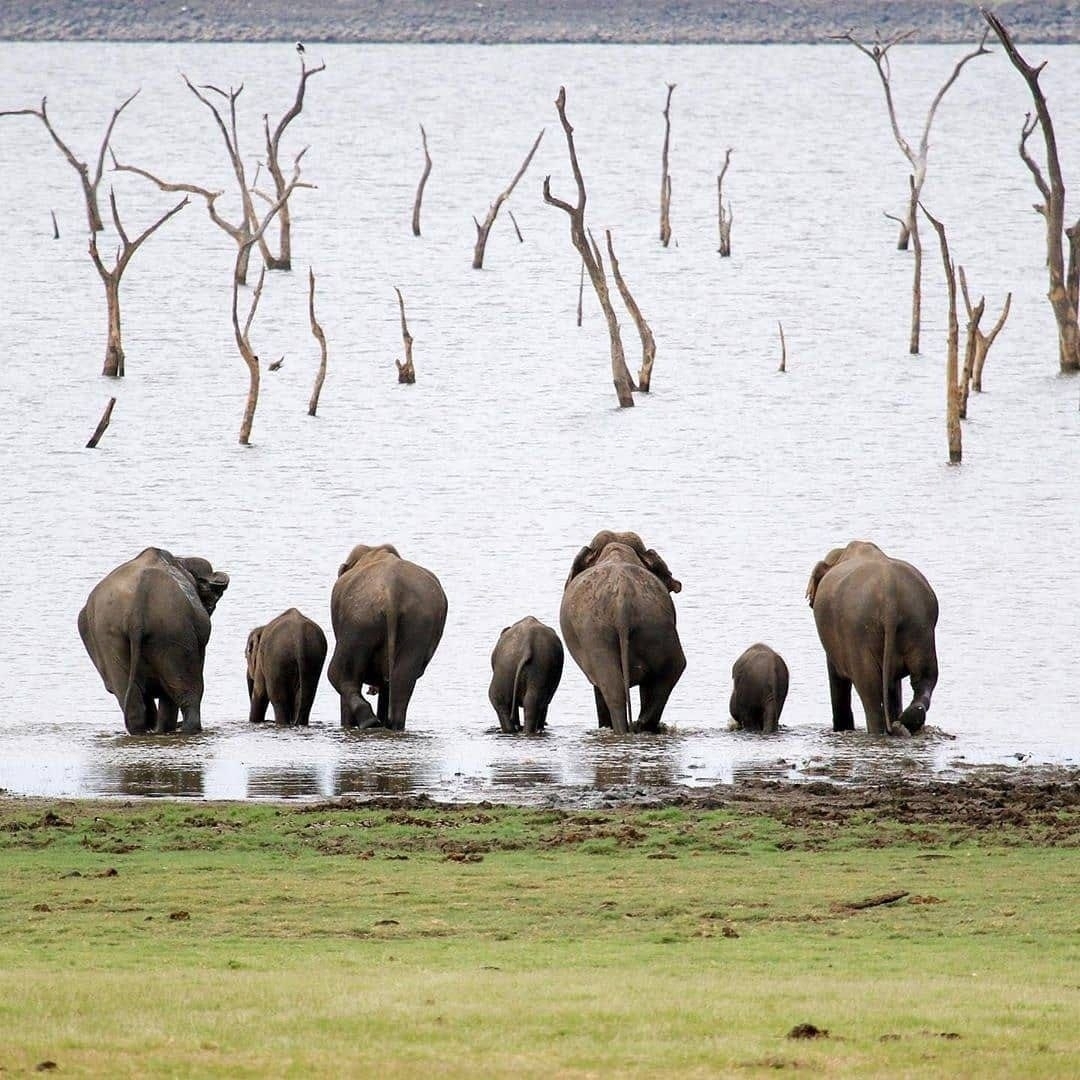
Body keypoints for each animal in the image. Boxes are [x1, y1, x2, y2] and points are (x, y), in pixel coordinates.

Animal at [77, 547, 229, 735]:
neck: (181, 561)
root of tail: (136, 610)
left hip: (109, 635)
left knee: (131, 698)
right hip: (173, 633)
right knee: (188, 693)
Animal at [327, 543, 448, 731]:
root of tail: (393, 591)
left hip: (359, 620)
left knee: (340, 674)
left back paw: (370, 722)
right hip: (418, 623)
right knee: (401, 681)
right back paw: (392, 725)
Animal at [560, 530, 686, 734]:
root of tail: (622, 604)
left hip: (595, 635)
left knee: (612, 688)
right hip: (654, 627)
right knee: (669, 672)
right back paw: (639, 726)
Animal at [806, 540, 939, 737]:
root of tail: (890, 598)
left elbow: (836, 676)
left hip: (859, 636)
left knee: (870, 692)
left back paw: (881, 730)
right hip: (920, 627)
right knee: (925, 677)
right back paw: (904, 723)